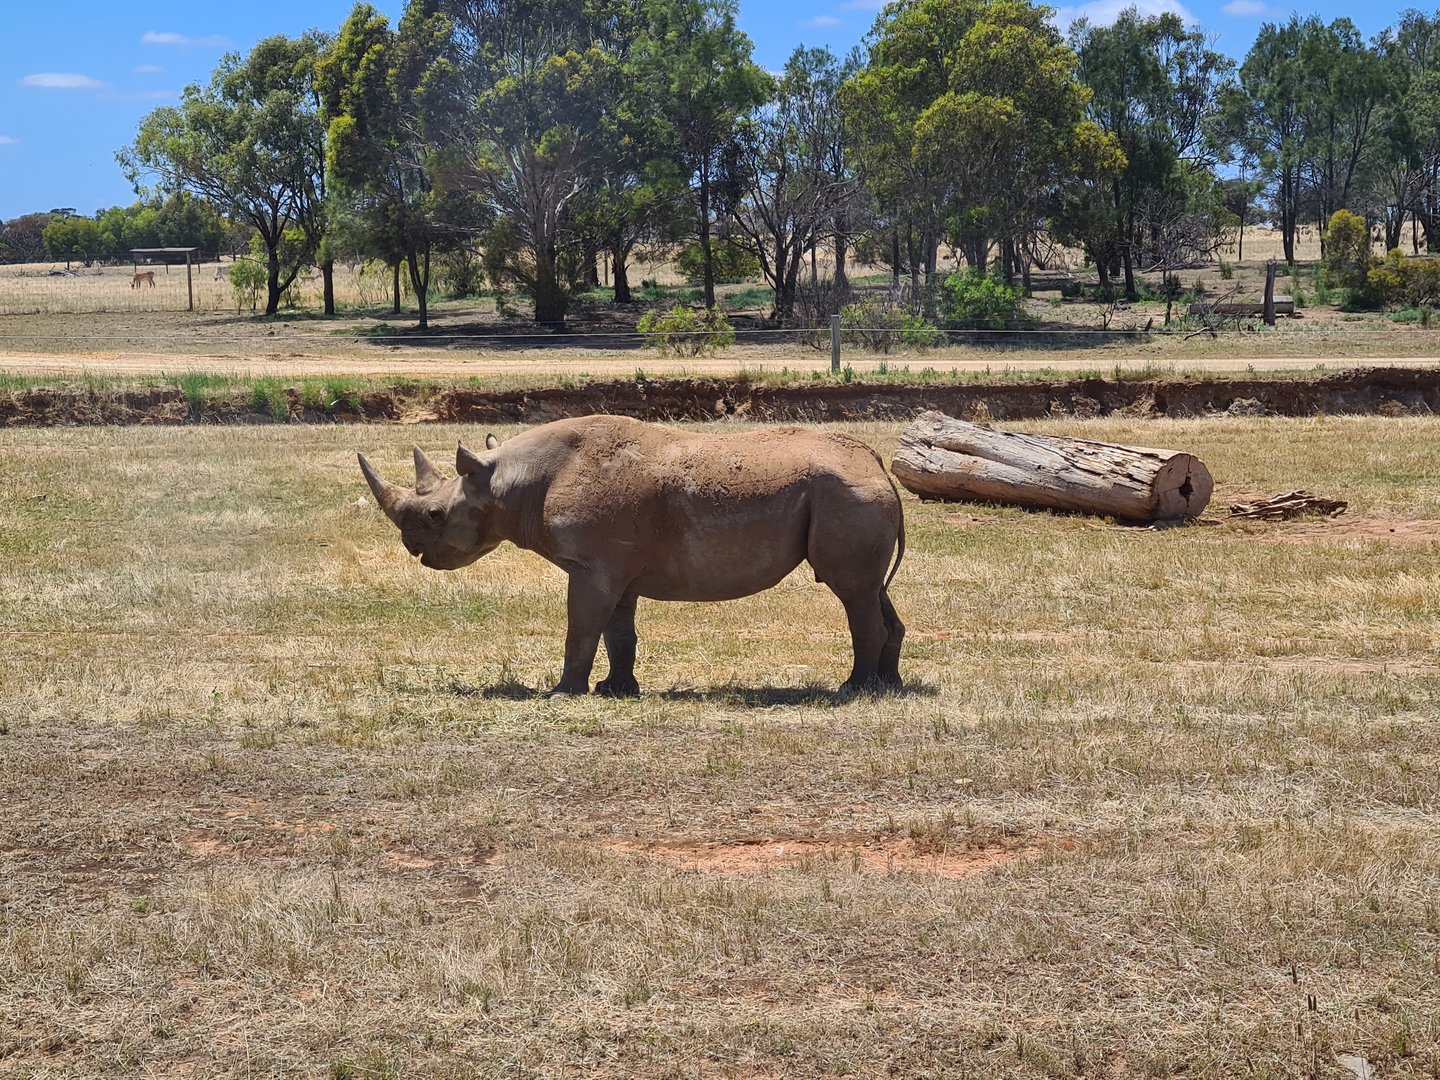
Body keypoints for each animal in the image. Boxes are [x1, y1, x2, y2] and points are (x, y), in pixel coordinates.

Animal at [358, 415, 905, 696]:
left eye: (434, 516)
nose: (412, 549)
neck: (509, 483)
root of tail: (877, 461)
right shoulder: (613, 566)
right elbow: (617, 632)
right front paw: (615, 690)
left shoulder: (591, 565)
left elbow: (581, 628)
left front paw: (563, 692)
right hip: (852, 493)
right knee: (869, 590)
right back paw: (887, 686)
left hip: (847, 494)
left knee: (850, 590)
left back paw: (852, 689)